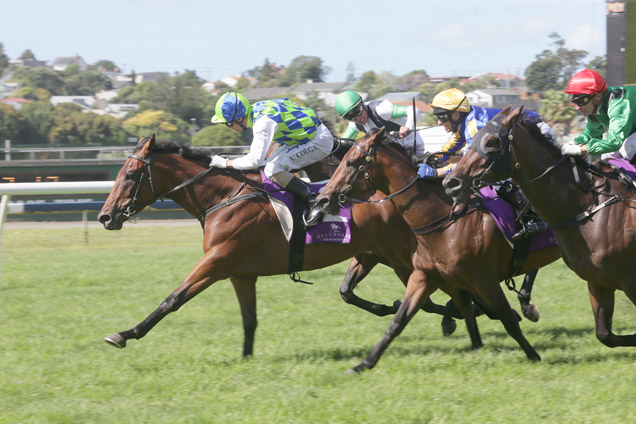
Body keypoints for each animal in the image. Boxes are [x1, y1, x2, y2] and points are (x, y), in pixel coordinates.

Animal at [99, 136, 474, 358]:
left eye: (130, 175)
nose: (106, 216)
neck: (224, 198)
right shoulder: (240, 274)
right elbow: (249, 320)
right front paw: (246, 357)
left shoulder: (217, 262)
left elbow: (173, 299)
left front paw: (125, 333)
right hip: (382, 255)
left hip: (402, 257)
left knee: (452, 287)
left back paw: (458, 319)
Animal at [316, 128, 560, 372]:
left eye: (351, 162)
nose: (322, 199)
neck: (443, 220)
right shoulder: (426, 275)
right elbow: (400, 320)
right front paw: (364, 364)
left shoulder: (484, 280)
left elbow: (506, 319)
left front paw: (533, 355)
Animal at [442, 105, 636, 348]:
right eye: (473, 141)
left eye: (492, 142)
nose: (451, 182)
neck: (588, 206)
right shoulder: (598, 280)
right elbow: (605, 335)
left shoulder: (629, 280)